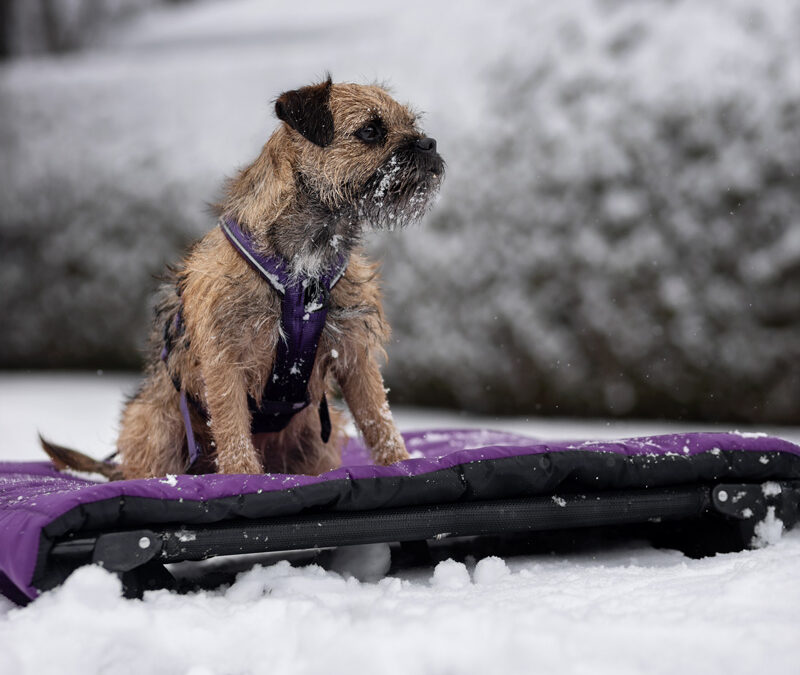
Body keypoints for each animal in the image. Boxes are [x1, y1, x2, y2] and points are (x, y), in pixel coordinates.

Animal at [41, 76, 444, 479]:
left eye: (412, 124)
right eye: (370, 131)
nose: (429, 143)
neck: (306, 260)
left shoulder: (354, 355)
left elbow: (378, 418)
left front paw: (399, 463)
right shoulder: (224, 359)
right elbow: (232, 428)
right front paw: (244, 476)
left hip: (316, 435)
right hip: (157, 422)